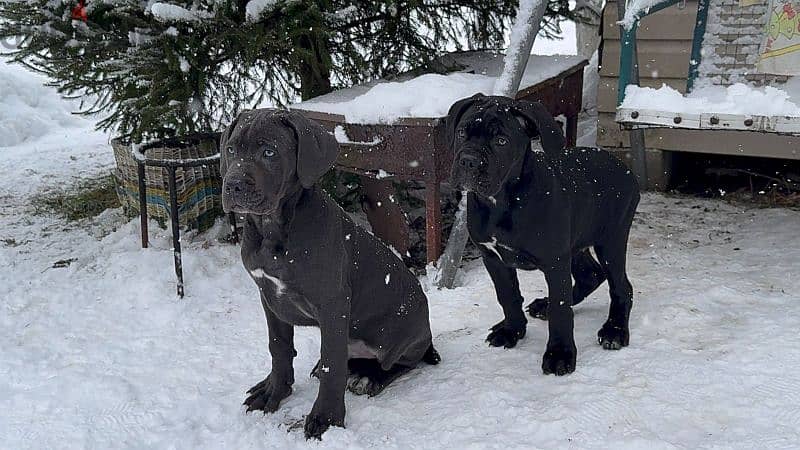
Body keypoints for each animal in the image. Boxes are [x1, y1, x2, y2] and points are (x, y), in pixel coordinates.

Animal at [222, 109, 440, 440]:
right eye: (231, 150)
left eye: (269, 152)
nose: (232, 185)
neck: (273, 230)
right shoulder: (268, 296)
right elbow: (279, 347)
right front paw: (275, 392)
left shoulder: (332, 304)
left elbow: (332, 366)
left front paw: (326, 417)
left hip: (397, 333)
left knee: (398, 362)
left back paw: (370, 377)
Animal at [446, 94, 640, 376]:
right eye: (461, 132)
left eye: (501, 141)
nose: (468, 160)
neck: (502, 201)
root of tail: (623, 166)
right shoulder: (493, 258)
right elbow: (507, 295)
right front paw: (512, 330)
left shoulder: (554, 261)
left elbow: (561, 310)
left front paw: (560, 354)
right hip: (576, 242)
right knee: (591, 275)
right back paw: (544, 306)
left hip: (611, 240)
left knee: (621, 287)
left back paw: (614, 331)